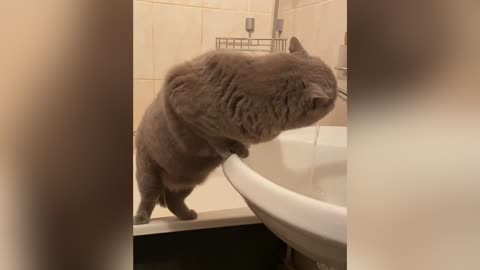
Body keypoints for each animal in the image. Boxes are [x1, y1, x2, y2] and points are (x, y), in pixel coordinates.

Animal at [133, 37, 336, 225]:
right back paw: (141, 219)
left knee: (173, 200)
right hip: (149, 170)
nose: (335, 102)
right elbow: (213, 136)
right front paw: (234, 149)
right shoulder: (181, 97)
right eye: (333, 96)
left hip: (188, 180)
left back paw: (189, 216)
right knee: (149, 197)